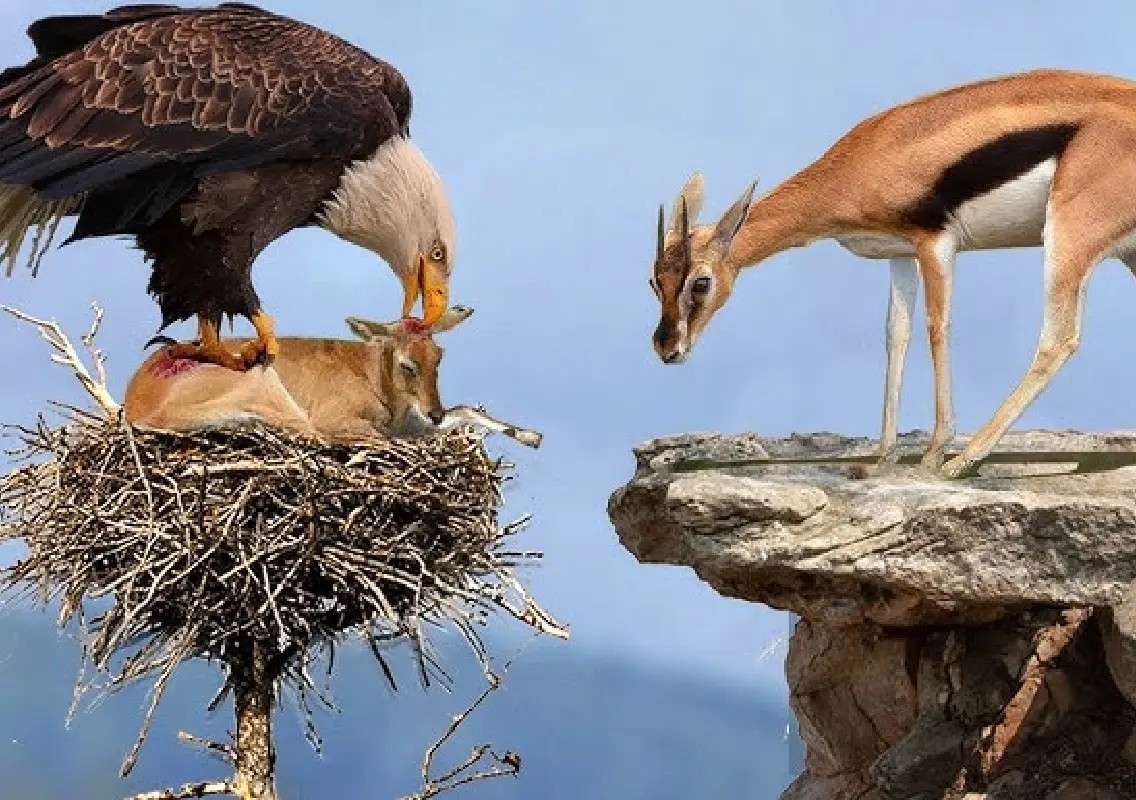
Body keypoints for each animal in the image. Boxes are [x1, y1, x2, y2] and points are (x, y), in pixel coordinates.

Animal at [123, 305, 541, 448]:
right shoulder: (337, 419)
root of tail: (137, 402)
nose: (433, 412)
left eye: (440, 356)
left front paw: (530, 436)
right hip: (263, 385)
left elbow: (467, 409)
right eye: (408, 363)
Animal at [648, 67, 1136, 478]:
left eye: (701, 281)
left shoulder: (935, 243)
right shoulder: (898, 255)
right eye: (654, 281)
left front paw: (934, 452)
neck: (864, 159)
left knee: (1057, 340)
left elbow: (937, 328)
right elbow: (895, 335)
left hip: (1066, 241)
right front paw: (882, 457)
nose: (667, 349)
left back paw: (962, 461)